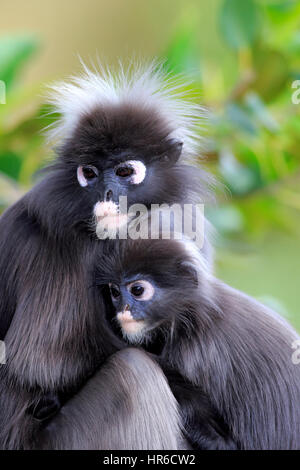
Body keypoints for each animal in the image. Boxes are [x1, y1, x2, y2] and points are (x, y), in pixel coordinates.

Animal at [0, 60, 211, 450]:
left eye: (125, 171)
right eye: (90, 173)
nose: (107, 193)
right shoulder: (63, 248)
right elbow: (41, 363)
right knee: (134, 374)